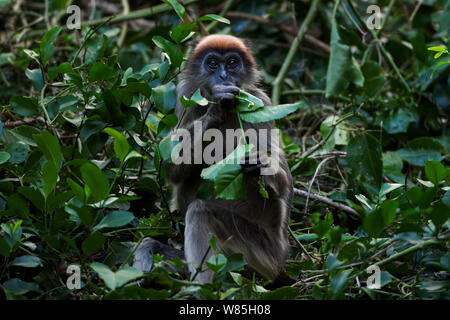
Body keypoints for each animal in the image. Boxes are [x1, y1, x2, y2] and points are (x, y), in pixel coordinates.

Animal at [134, 35, 296, 288]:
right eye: (212, 63)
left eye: (231, 63)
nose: (223, 76)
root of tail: (281, 259)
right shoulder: (186, 98)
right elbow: (171, 170)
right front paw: (217, 108)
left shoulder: (261, 103)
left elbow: (285, 181)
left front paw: (260, 161)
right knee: (149, 242)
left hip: (259, 253)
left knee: (200, 211)